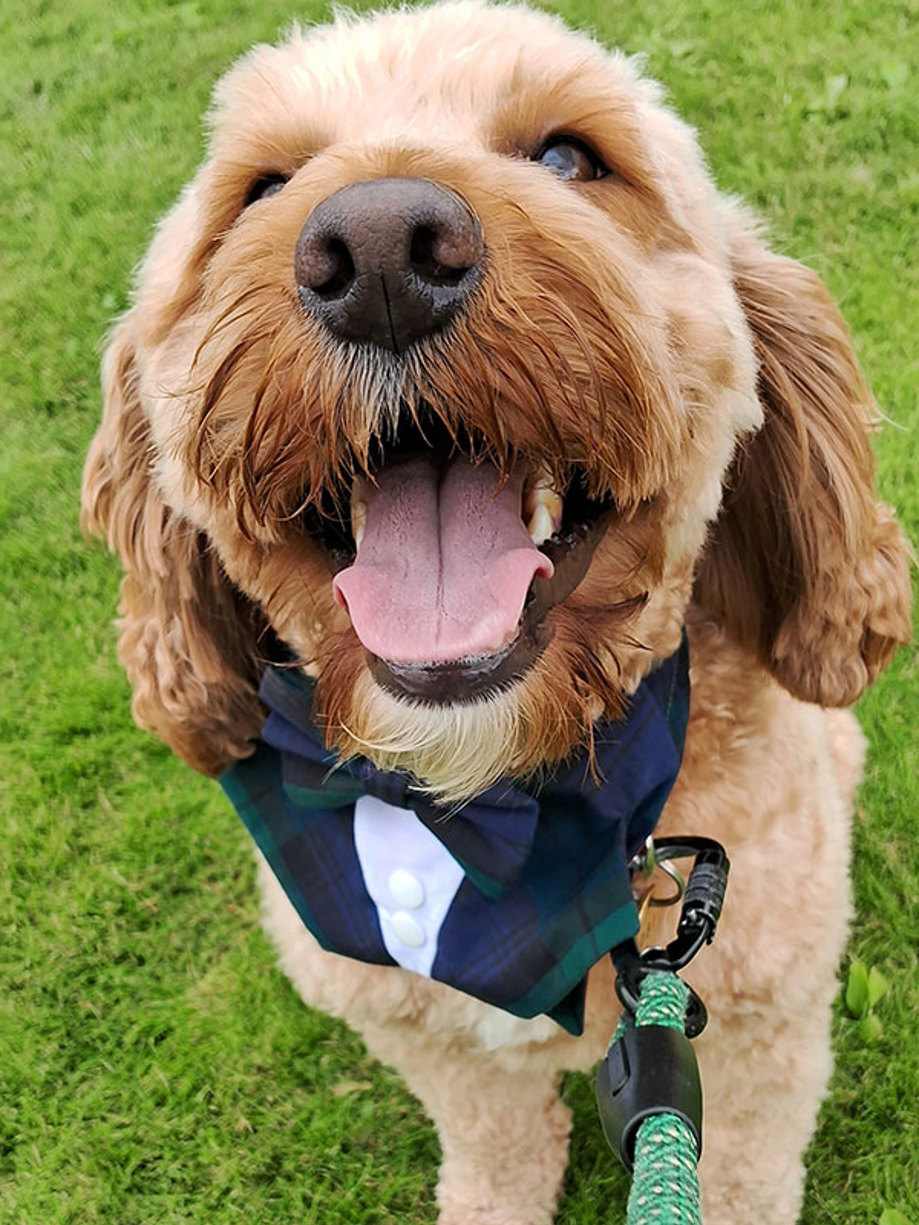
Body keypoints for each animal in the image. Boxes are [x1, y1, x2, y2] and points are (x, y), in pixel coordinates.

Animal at [80, 2, 916, 1225]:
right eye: (260, 186)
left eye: (570, 158)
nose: (380, 251)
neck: (503, 813)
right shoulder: (433, 1037)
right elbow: (493, 1144)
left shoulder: (761, 1035)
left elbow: (744, 1172)